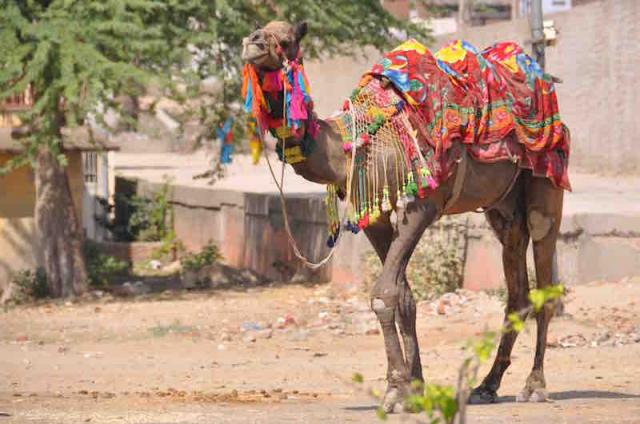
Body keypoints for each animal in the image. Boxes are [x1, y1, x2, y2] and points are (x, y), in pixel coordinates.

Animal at [240, 21, 564, 412]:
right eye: (257, 30)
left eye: (286, 40)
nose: (254, 44)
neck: (350, 146)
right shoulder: (376, 219)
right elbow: (405, 297)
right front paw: (416, 388)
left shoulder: (420, 207)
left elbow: (384, 294)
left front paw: (395, 390)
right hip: (502, 208)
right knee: (517, 289)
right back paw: (487, 385)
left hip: (546, 183)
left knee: (545, 281)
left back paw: (535, 385)